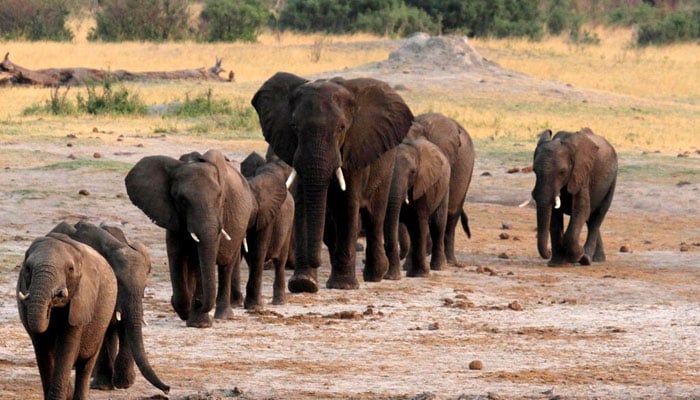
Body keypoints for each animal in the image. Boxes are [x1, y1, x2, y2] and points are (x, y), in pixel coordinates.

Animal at [16, 230, 116, 400]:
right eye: (28, 268)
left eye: (70, 269)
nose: (56, 295)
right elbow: (42, 348)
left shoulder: (82, 300)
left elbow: (66, 347)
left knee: (86, 364)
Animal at [50, 220, 170, 396]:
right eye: (118, 283)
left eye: (144, 286)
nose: (167, 389)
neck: (116, 245)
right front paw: (104, 386)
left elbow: (124, 327)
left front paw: (124, 383)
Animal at [253, 72, 412, 292]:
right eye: (294, 127)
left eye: (342, 128)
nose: (317, 263)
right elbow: (304, 204)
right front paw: (304, 283)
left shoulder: (354, 149)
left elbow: (347, 205)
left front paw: (343, 285)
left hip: (385, 166)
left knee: (374, 217)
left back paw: (375, 275)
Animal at [532, 128, 616, 266]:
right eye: (534, 170)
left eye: (562, 172)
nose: (548, 251)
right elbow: (554, 216)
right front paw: (556, 264)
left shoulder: (582, 174)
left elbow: (581, 210)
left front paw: (576, 256)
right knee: (590, 219)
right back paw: (596, 259)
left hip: (611, 182)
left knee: (596, 218)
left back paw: (586, 259)